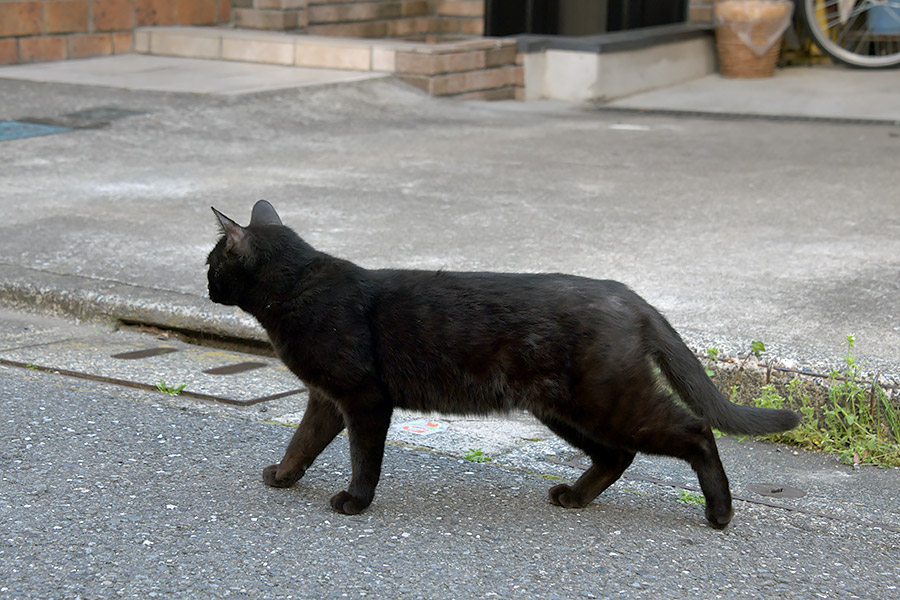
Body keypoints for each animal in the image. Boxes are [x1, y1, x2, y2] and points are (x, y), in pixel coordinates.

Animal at [207, 200, 800, 524]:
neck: (297, 286)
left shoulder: (364, 398)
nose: (206, 283)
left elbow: (363, 458)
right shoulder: (326, 399)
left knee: (695, 431)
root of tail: (628, 295)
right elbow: (302, 441)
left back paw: (720, 514)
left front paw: (355, 502)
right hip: (564, 409)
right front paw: (283, 476)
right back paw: (574, 498)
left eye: (212, 262)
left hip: (606, 400)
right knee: (619, 455)